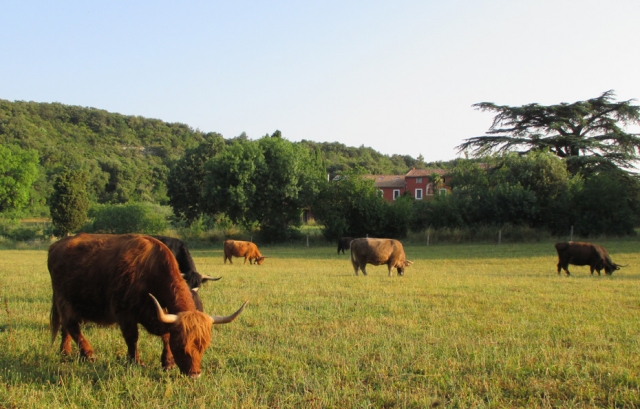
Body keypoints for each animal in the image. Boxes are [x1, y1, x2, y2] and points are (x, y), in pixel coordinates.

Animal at [47, 233, 248, 376]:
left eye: (203, 346)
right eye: (181, 346)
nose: (195, 374)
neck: (149, 272)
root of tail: (57, 245)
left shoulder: (158, 313)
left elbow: (166, 335)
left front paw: (167, 362)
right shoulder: (125, 314)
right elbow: (132, 338)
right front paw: (135, 361)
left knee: (67, 328)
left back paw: (66, 352)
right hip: (64, 301)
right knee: (72, 326)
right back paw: (88, 354)